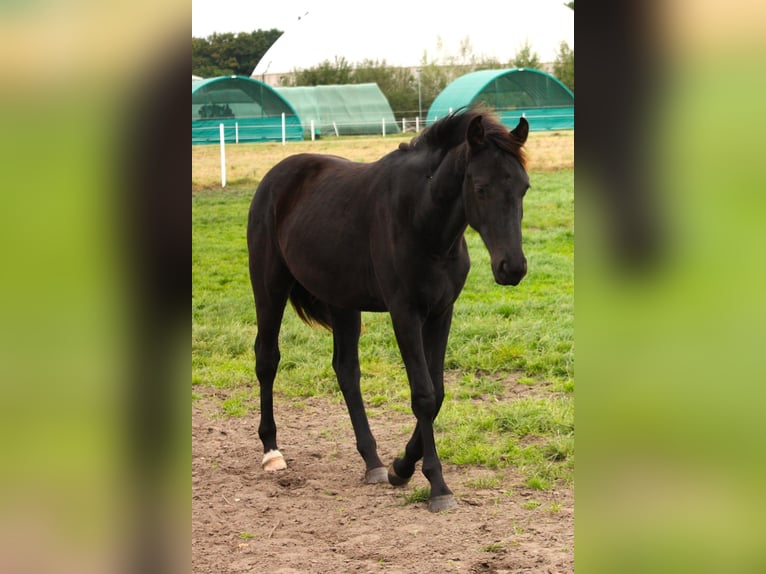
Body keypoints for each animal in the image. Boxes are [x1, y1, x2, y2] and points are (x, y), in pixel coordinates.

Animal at [247, 107, 529, 512]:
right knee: (267, 359)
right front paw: (437, 485)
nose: (513, 268)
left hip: (343, 302)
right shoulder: (405, 314)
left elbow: (437, 392)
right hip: (270, 286)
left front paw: (401, 467)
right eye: (481, 188)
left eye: (524, 188)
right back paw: (271, 451)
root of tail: (275, 176)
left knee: (346, 370)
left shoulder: (441, 312)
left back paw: (373, 462)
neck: (422, 221)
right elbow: (423, 394)